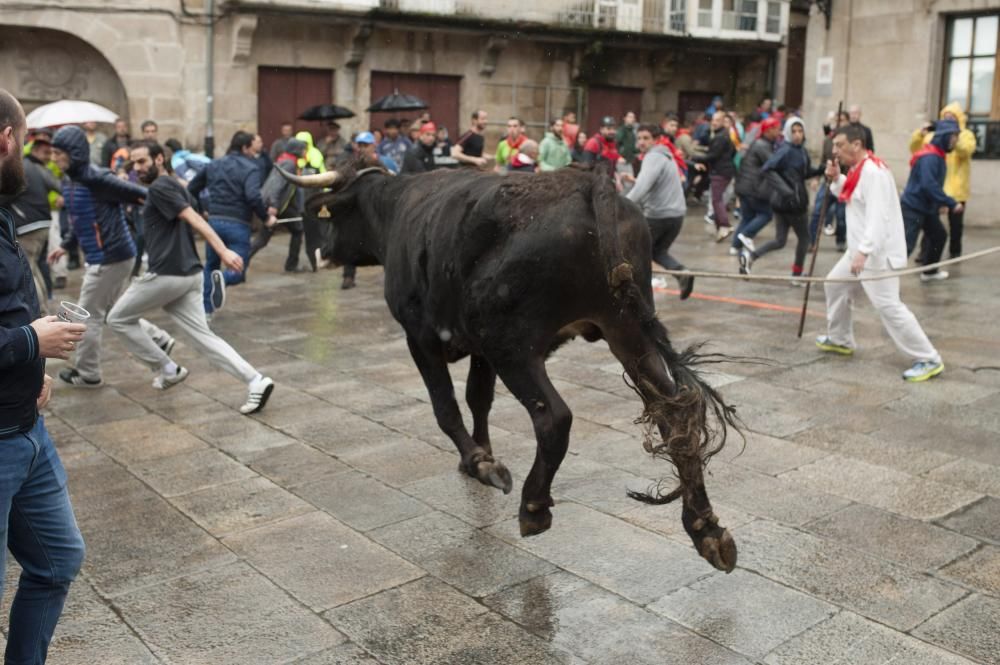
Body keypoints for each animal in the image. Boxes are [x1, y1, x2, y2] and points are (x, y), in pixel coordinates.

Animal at [282, 165, 744, 572]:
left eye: (332, 217)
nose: (321, 253)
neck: (395, 208)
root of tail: (587, 183)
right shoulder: (479, 350)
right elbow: (478, 398)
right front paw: (479, 455)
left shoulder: (422, 336)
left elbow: (446, 407)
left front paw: (481, 463)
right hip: (625, 329)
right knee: (674, 411)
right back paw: (705, 528)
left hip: (513, 344)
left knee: (554, 417)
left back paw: (533, 506)